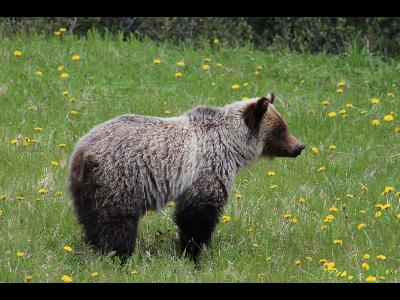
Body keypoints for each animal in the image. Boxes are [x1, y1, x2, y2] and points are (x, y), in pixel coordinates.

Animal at [69, 92, 306, 262]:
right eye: (281, 130)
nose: (300, 146)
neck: (232, 146)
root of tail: (83, 152)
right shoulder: (208, 168)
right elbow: (197, 215)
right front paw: (193, 252)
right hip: (120, 179)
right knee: (117, 222)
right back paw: (120, 254)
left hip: (85, 187)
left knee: (90, 218)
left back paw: (95, 246)